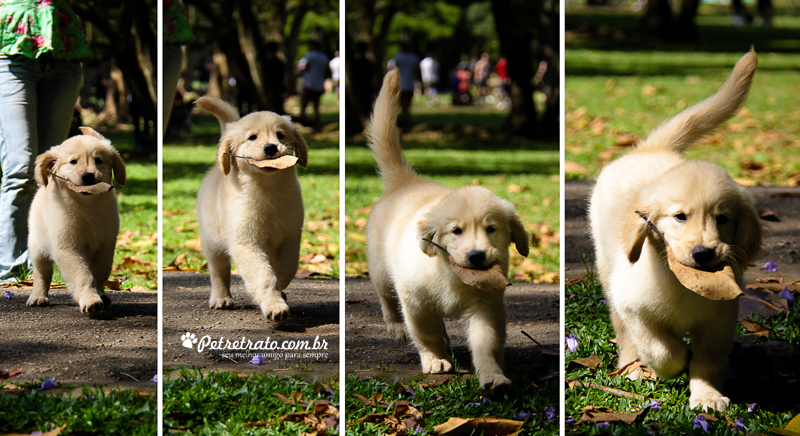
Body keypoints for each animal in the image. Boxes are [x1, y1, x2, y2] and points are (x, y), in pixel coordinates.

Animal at [26, 127, 126, 314]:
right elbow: (82, 275)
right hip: (37, 246)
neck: (86, 204)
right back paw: (37, 297)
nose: (88, 176)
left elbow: (100, 272)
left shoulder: (105, 245)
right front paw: (90, 299)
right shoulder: (67, 247)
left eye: (98, 161)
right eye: (73, 162)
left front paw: (99, 294)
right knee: (42, 273)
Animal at [195, 97, 308, 322]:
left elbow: (287, 267)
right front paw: (275, 305)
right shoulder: (245, 242)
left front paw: (280, 288)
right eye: (252, 137)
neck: (268, 190)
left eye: (280, 135)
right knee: (219, 272)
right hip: (212, 243)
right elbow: (263, 275)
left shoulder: (291, 235)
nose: (271, 147)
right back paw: (221, 298)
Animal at [368, 70, 532, 390]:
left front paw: (493, 375)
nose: (476, 256)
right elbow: (426, 332)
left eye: (491, 229)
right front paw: (435, 360)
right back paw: (396, 326)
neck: (452, 274)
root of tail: (406, 182)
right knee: (386, 297)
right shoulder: (415, 300)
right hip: (381, 270)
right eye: (456, 231)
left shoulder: (487, 304)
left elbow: (486, 342)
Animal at [588, 49, 764, 410]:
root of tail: (650, 149)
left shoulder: (721, 318)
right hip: (608, 272)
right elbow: (661, 349)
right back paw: (632, 366)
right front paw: (677, 358)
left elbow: (708, 360)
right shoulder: (633, 306)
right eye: (680, 217)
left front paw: (707, 396)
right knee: (624, 333)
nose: (703, 253)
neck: (684, 283)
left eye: (722, 218)